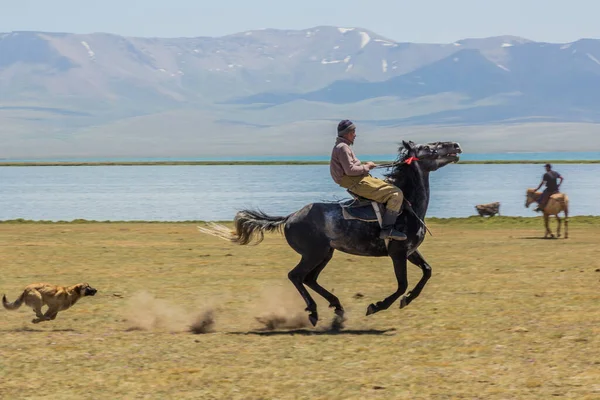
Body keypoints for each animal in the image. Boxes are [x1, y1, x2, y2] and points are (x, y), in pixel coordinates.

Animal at [204, 142, 462, 326]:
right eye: (429, 146)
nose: (456, 146)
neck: (406, 206)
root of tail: (290, 217)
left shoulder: (410, 251)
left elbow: (427, 272)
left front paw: (407, 300)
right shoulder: (397, 253)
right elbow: (401, 284)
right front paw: (376, 306)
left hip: (326, 253)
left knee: (309, 278)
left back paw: (337, 308)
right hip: (314, 254)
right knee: (296, 276)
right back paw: (315, 312)